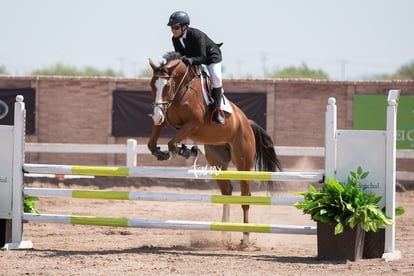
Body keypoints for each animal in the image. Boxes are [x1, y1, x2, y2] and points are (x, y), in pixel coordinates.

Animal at [148, 51, 282, 244]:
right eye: (152, 85)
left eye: (167, 86)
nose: (156, 116)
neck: (182, 89)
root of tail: (246, 122)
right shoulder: (167, 120)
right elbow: (152, 144)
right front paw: (166, 153)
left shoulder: (193, 123)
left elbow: (172, 143)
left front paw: (183, 151)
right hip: (217, 161)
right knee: (227, 192)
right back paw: (224, 234)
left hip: (243, 162)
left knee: (245, 196)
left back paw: (245, 239)